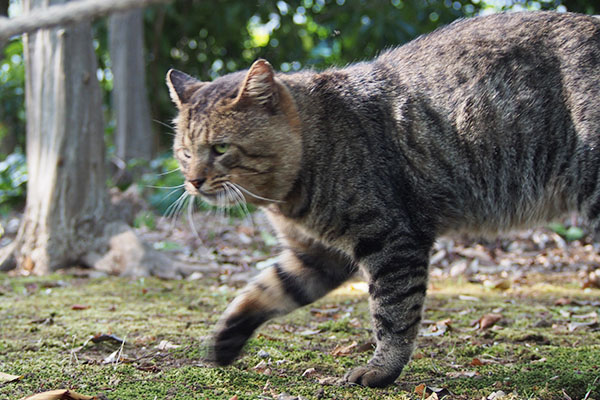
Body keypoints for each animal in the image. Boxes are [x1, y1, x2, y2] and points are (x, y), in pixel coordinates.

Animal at [164, 11, 600, 388]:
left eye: (220, 148)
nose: (194, 181)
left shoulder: (391, 240)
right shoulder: (315, 255)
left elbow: (393, 312)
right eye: (184, 152)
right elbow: (264, 291)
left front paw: (381, 368)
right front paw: (225, 339)